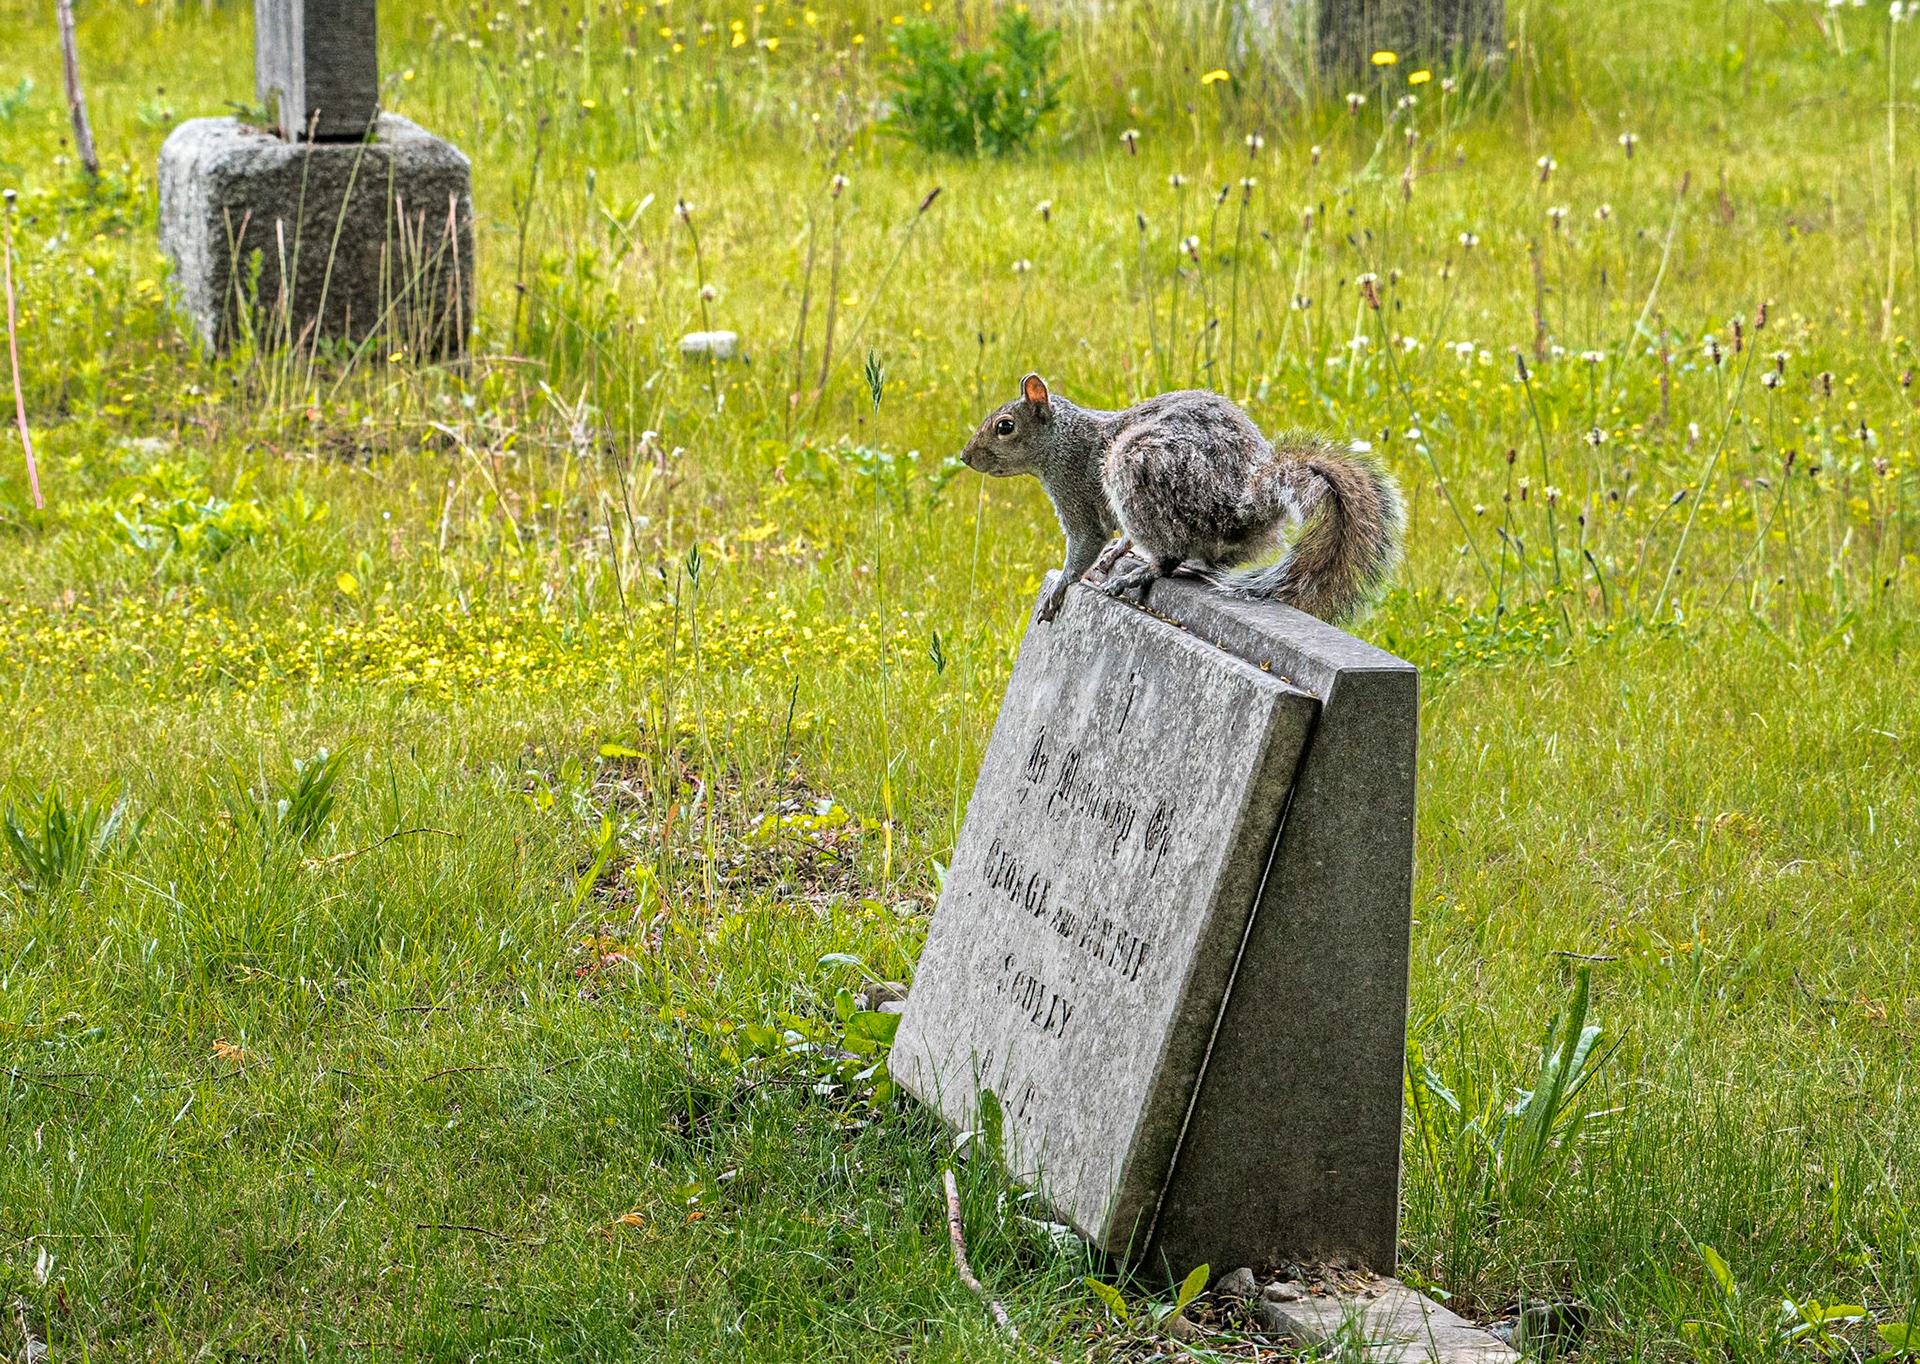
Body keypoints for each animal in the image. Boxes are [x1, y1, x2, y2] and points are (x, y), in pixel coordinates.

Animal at [960, 374, 1405, 626]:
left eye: (1004, 427)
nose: (965, 457)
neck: (1063, 440)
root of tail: (1246, 506)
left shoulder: (1076, 490)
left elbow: (1086, 541)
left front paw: (1063, 584)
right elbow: (1118, 538)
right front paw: (1117, 552)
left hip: (1139, 470)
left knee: (1169, 557)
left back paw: (1140, 574)